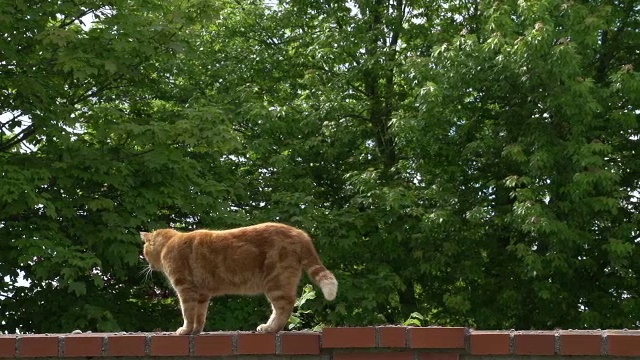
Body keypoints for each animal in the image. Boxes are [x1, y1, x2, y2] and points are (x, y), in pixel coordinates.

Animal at [140, 222, 338, 334]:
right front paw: (195, 331)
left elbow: (188, 313)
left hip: (276, 281)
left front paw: (185, 330)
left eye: (145, 251)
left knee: (284, 306)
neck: (168, 245)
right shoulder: (202, 294)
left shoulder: (186, 289)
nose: (147, 263)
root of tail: (300, 233)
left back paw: (270, 328)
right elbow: (200, 315)